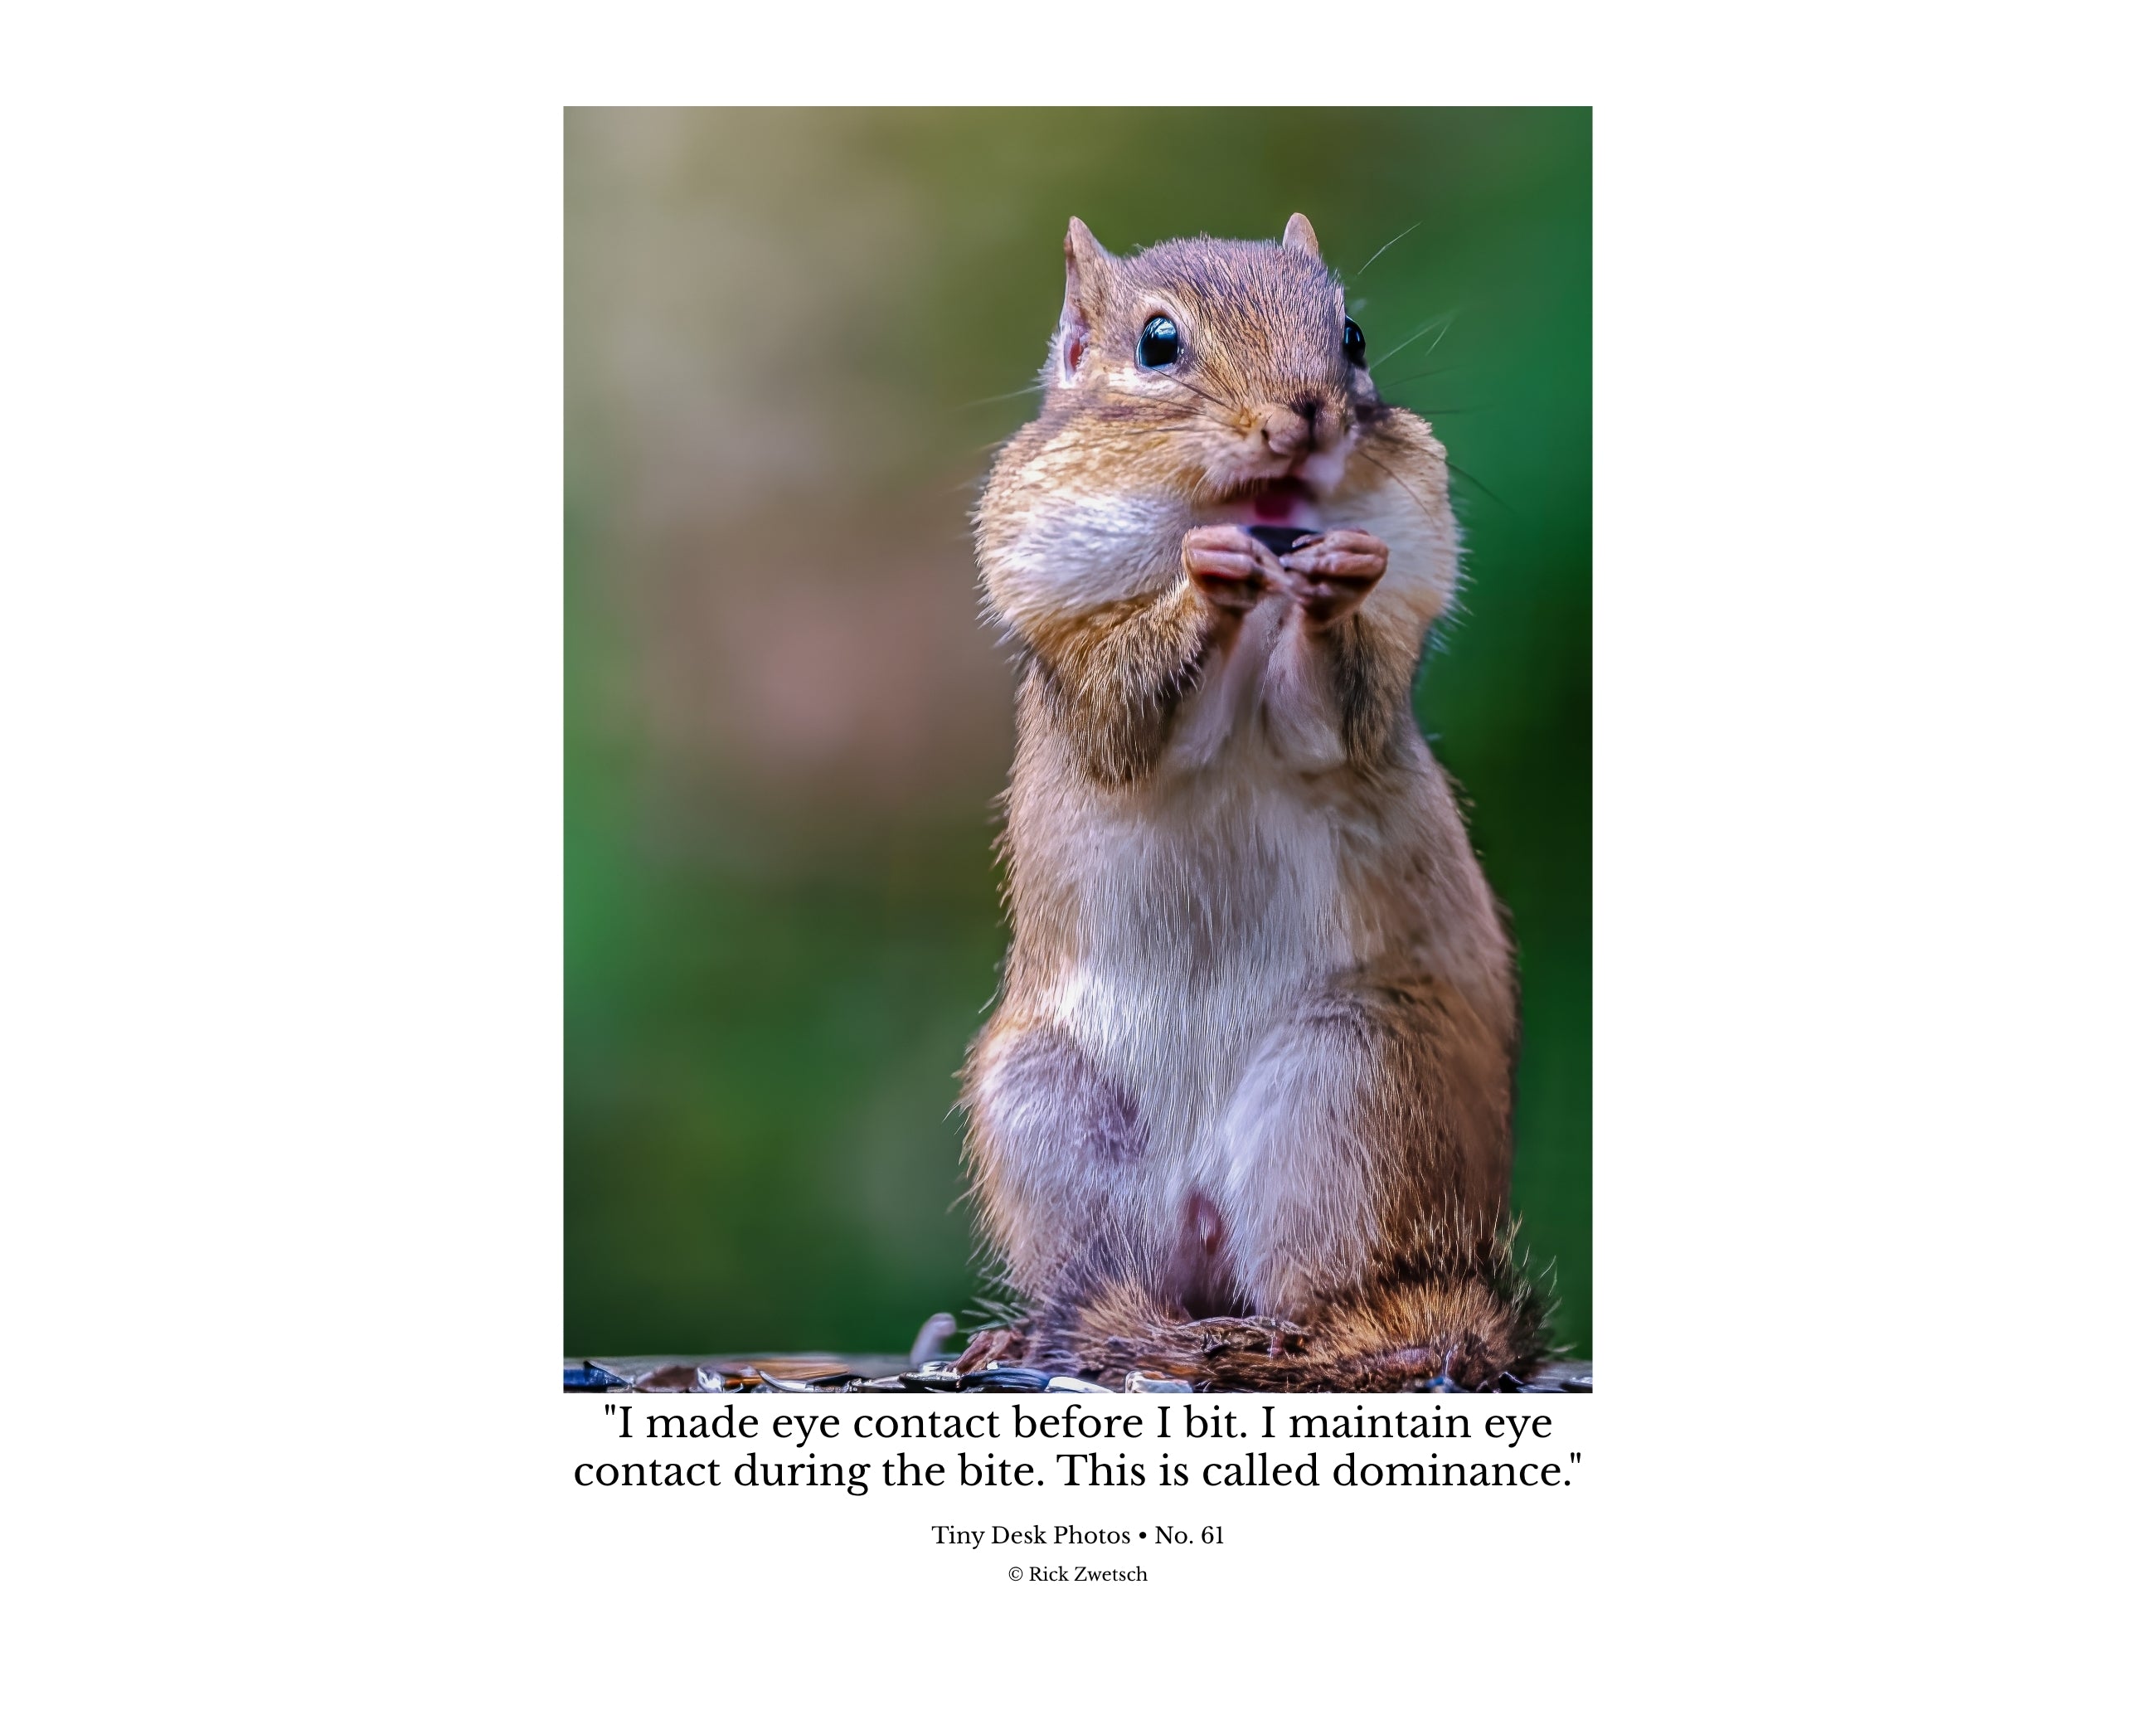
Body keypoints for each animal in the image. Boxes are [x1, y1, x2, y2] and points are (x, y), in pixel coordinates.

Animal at [957, 215, 1544, 1391]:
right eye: (1156, 343)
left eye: (1352, 335)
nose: (1305, 412)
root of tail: (1202, 1215)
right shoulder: (1075, 652)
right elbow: (1126, 717)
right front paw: (1202, 581)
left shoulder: (1361, 684)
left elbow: (1333, 716)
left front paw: (1332, 588)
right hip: (1047, 1111)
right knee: (1121, 1276)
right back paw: (1040, 1332)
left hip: (1353, 1087)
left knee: (1318, 1287)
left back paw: (1309, 1335)